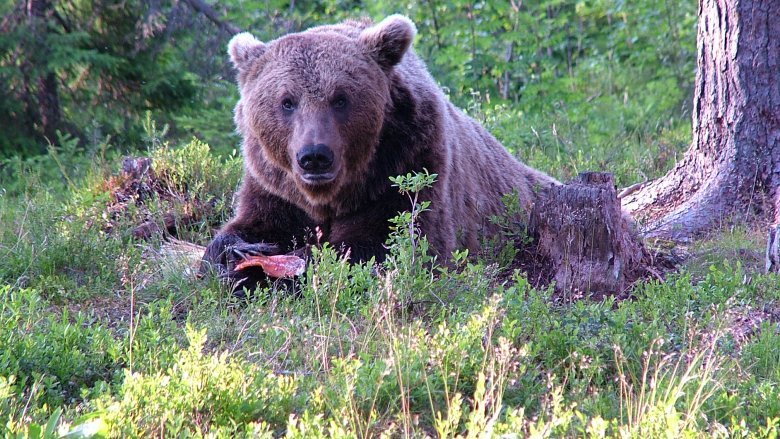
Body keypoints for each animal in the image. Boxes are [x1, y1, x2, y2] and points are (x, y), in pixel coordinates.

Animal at [201, 14, 556, 288]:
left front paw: (284, 266)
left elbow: (387, 243)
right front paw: (240, 252)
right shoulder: (275, 187)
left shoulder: (409, 167)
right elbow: (250, 224)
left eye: (340, 98)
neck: (333, 195)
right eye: (287, 101)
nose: (315, 156)